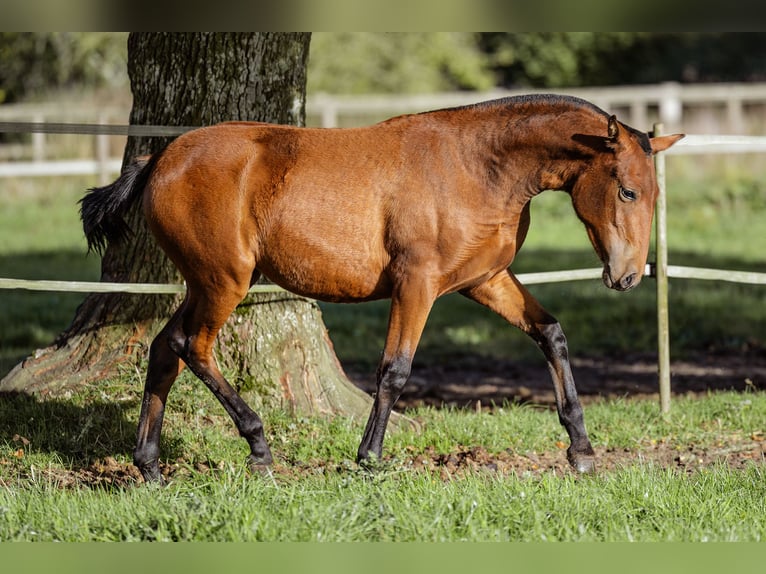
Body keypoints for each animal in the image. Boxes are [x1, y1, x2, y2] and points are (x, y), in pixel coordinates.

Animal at [81, 93, 688, 482]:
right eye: (628, 191)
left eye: (657, 194)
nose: (627, 277)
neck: (478, 166)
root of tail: (162, 157)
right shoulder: (416, 284)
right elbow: (394, 370)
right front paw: (369, 458)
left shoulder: (485, 281)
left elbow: (551, 334)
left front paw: (581, 450)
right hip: (223, 281)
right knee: (193, 347)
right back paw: (258, 446)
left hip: (204, 284)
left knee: (165, 349)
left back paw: (150, 466)